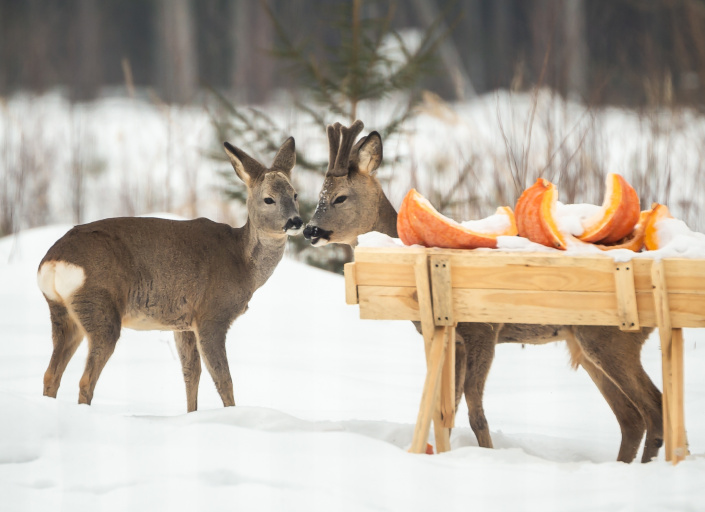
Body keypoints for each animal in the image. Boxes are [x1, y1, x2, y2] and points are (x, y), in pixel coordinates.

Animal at [37, 136, 302, 412]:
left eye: (295, 194)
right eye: (269, 199)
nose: (296, 222)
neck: (242, 262)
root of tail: (53, 260)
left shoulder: (184, 322)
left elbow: (191, 374)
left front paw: (192, 415)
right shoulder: (211, 315)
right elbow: (223, 379)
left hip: (63, 312)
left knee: (51, 374)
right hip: (100, 307)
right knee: (85, 380)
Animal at [302, 121, 660, 464]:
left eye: (340, 197)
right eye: (320, 193)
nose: (309, 229)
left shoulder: (483, 330)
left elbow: (476, 411)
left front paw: (486, 456)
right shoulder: (456, 339)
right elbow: (448, 409)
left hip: (612, 338)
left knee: (653, 407)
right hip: (587, 346)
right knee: (631, 418)